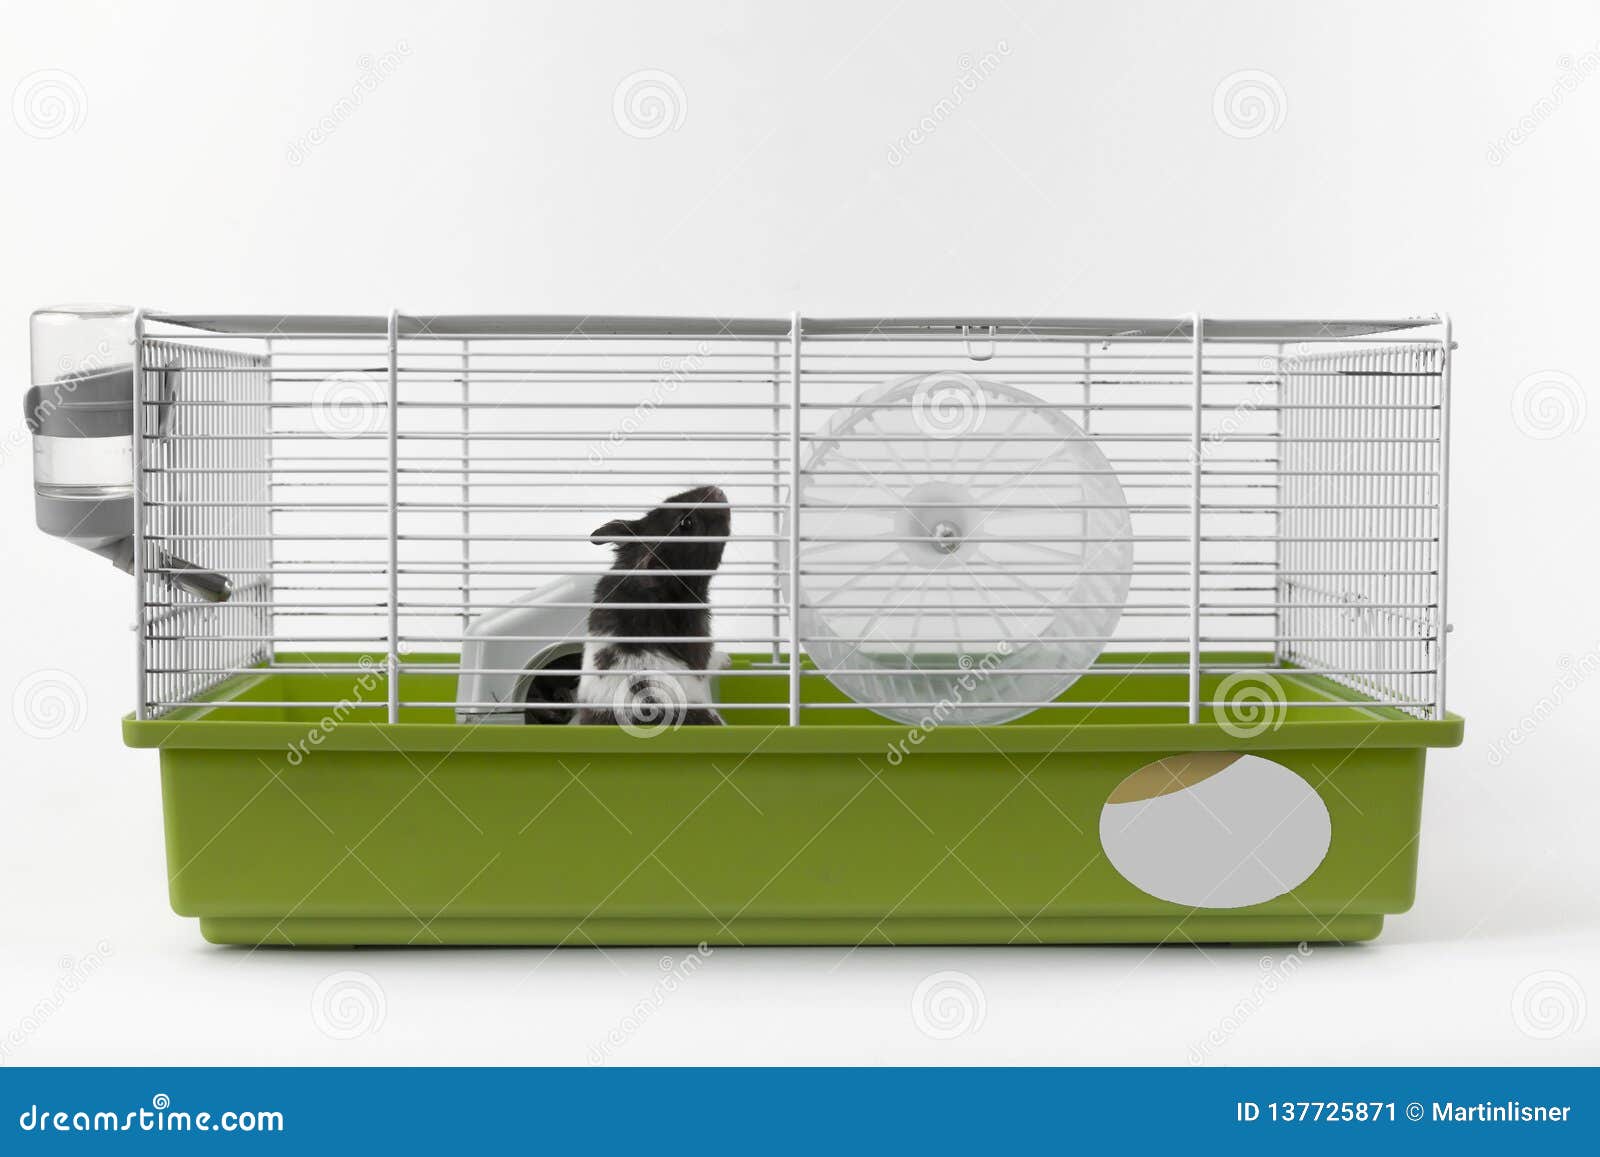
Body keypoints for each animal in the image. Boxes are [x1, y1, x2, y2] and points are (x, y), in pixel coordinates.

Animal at [575, 485, 731, 727]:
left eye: (667, 500)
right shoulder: (701, 641)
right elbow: (711, 659)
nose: (716, 490)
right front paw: (728, 658)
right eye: (687, 523)